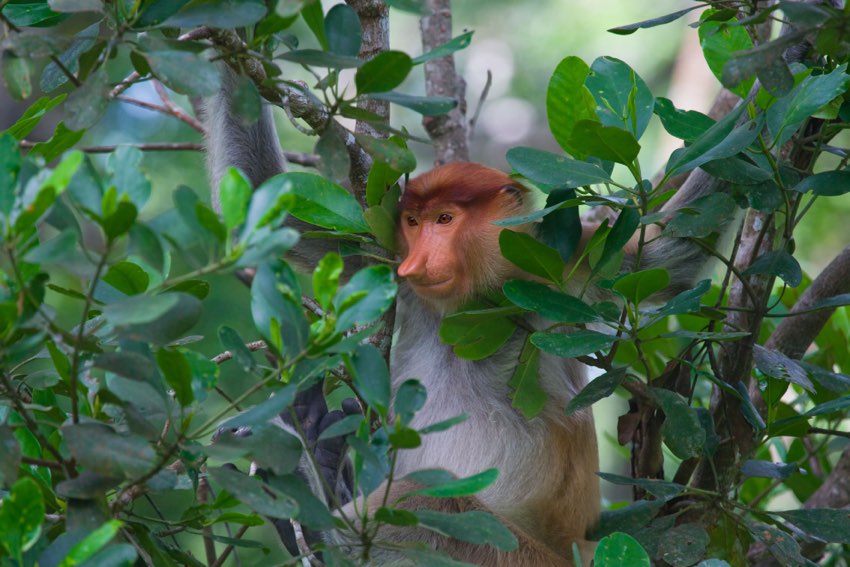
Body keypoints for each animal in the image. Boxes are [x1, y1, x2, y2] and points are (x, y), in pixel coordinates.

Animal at [204, 67, 727, 566]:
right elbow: (274, 205)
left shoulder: (571, 267)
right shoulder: (386, 256)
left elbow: (671, 257)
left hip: (524, 557)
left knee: (425, 504)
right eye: (413, 222)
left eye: (445, 220)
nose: (418, 263)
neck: (476, 305)